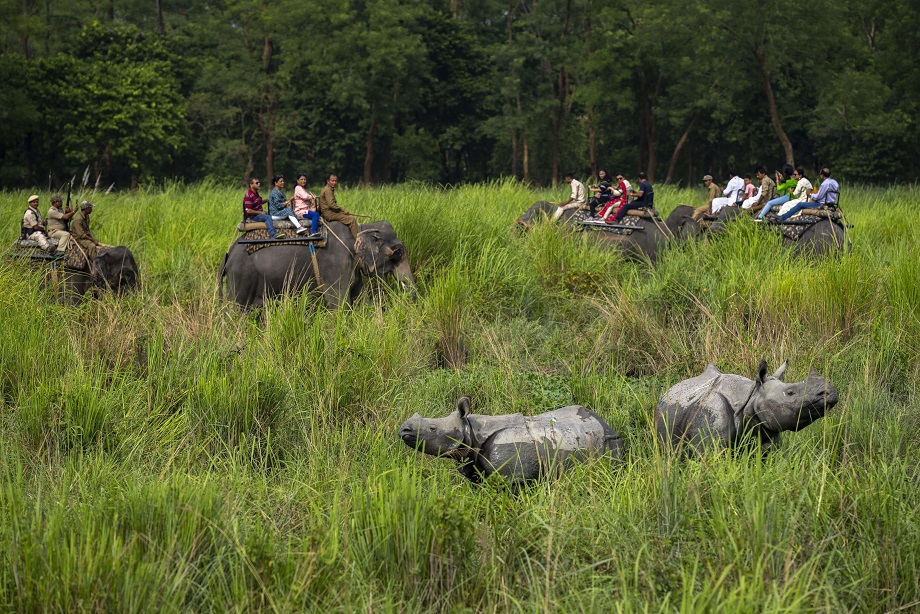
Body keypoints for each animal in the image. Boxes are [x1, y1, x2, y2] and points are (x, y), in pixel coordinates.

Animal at [217, 220, 416, 310]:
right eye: (398, 254)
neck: (359, 229)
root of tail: (228, 254)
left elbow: (360, 301)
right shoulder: (336, 266)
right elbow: (339, 304)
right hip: (241, 278)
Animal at [398, 394, 620, 486]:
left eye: (432, 428)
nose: (403, 430)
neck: (471, 430)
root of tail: (607, 424)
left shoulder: (513, 477)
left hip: (610, 443)